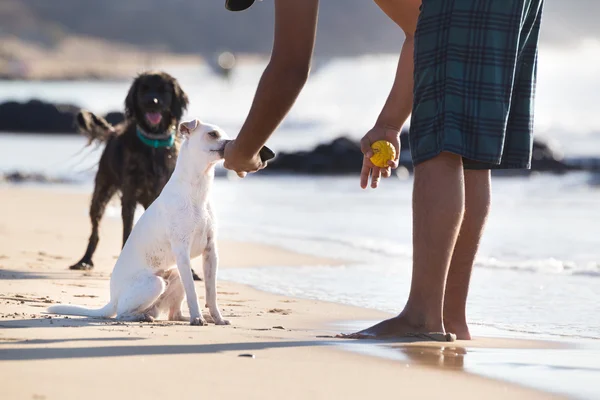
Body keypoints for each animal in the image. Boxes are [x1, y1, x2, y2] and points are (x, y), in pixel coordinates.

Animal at [48, 119, 230, 324]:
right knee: (122, 313)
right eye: (212, 134)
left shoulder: (210, 252)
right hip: (155, 283)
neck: (197, 189)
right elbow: (193, 292)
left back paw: (183, 317)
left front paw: (217, 318)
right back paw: (143, 317)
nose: (230, 143)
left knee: (173, 313)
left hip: (175, 274)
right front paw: (197, 318)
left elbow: (211, 293)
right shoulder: (182, 252)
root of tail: (113, 299)